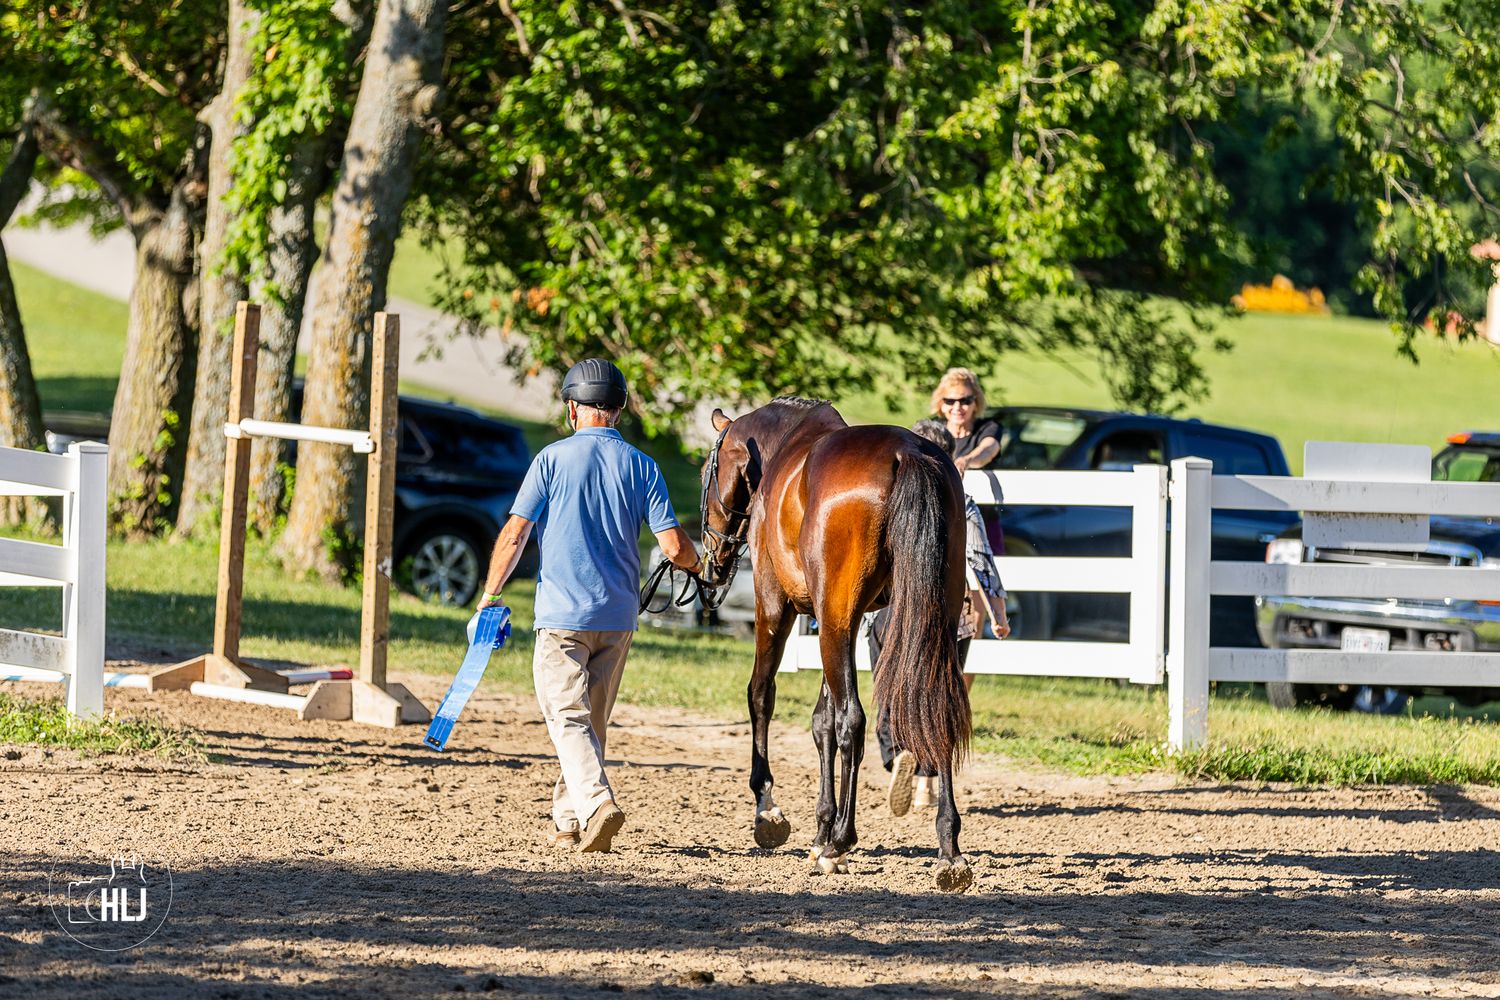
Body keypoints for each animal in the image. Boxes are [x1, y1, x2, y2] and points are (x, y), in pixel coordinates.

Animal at [698, 397, 974, 892]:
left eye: (704, 473)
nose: (713, 561)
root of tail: (907, 453)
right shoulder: (835, 618)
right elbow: (821, 722)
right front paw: (820, 826)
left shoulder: (778, 606)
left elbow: (763, 695)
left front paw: (770, 810)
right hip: (922, 620)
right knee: (935, 711)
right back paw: (948, 848)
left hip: (831, 618)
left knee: (853, 720)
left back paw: (841, 841)